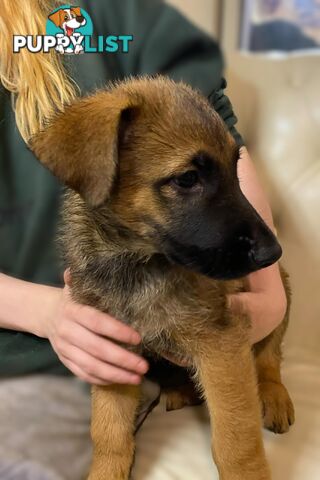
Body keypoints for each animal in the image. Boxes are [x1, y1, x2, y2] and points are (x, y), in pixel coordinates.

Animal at [30, 77, 296, 478]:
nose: (272, 252)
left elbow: (236, 438)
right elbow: (108, 429)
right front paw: (106, 469)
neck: (136, 262)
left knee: (268, 358)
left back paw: (274, 395)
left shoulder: (222, 344)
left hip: (282, 295)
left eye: (235, 169)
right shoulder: (109, 348)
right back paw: (179, 389)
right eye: (187, 179)